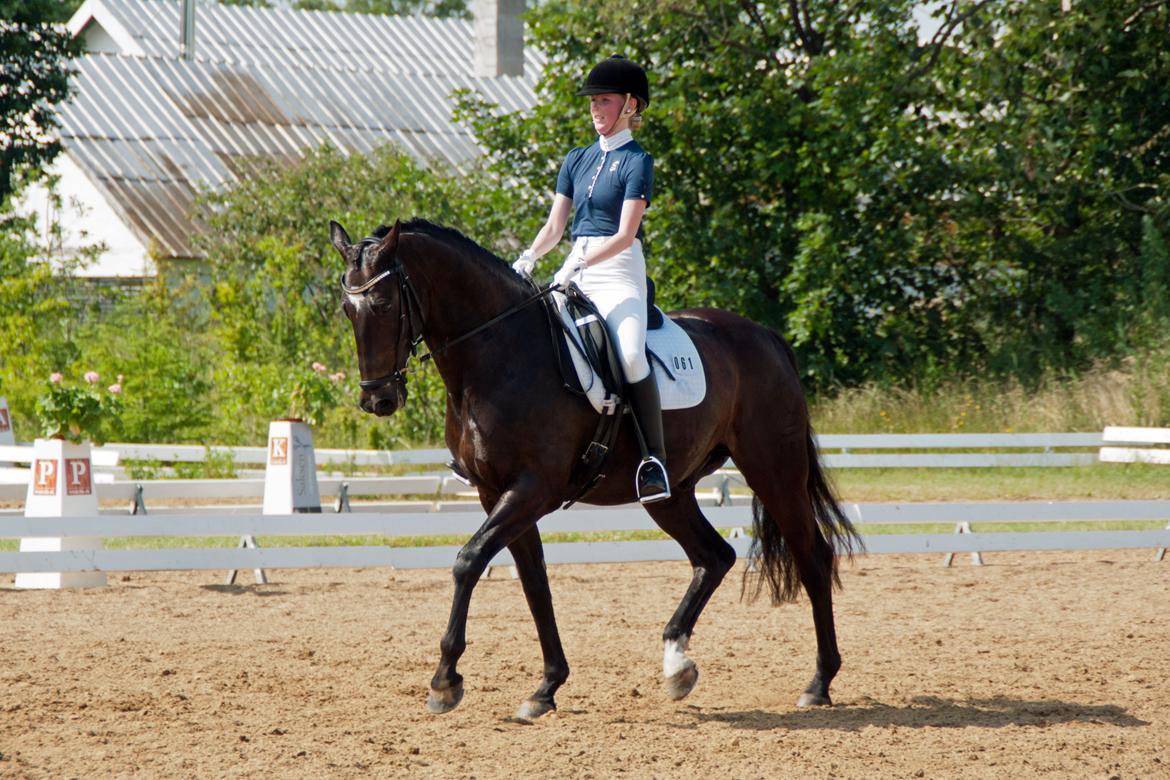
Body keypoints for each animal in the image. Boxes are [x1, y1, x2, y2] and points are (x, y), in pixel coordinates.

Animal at [329, 218, 861, 720]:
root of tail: (765, 336)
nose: (378, 399)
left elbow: (469, 561)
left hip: (774, 469)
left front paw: (445, 681)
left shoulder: (532, 489)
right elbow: (534, 582)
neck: (500, 354)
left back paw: (818, 682)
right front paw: (546, 687)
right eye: (347, 310)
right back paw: (677, 665)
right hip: (671, 492)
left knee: (812, 557)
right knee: (713, 557)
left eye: (382, 303)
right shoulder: (495, 493)